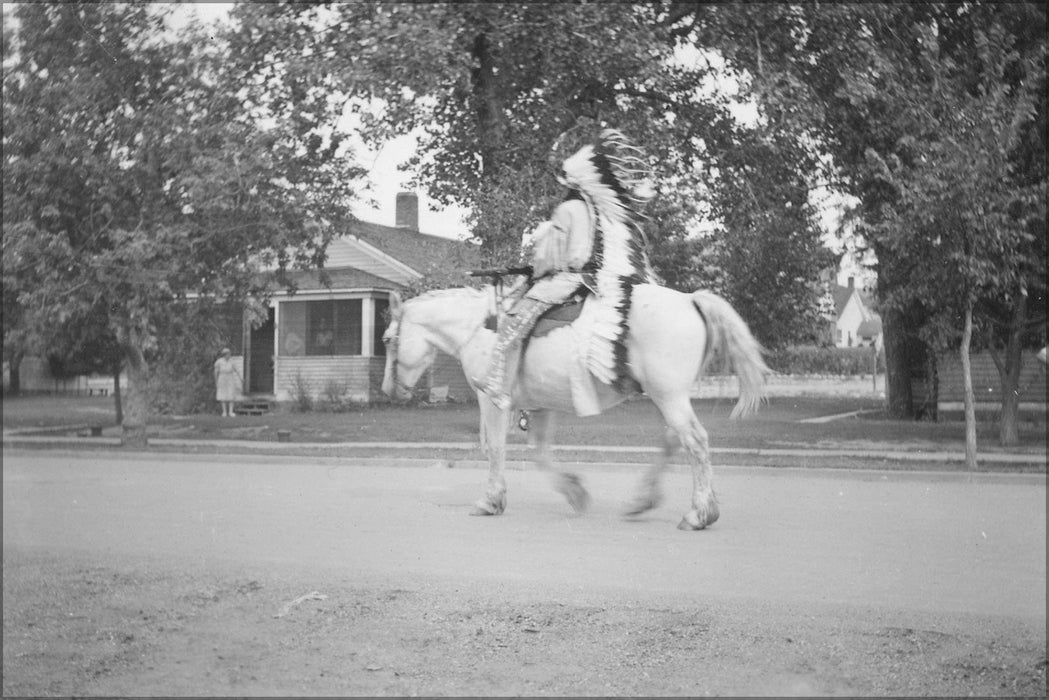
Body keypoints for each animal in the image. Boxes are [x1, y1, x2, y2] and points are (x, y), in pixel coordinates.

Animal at [381, 281, 767, 528]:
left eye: (386, 339)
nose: (388, 390)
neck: (482, 327)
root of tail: (689, 300)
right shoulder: (541, 406)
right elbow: (540, 454)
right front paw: (574, 492)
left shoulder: (492, 399)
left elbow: (496, 449)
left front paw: (490, 501)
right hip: (668, 396)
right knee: (675, 441)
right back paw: (644, 501)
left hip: (669, 395)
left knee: (696, 443)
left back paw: (699, 514)